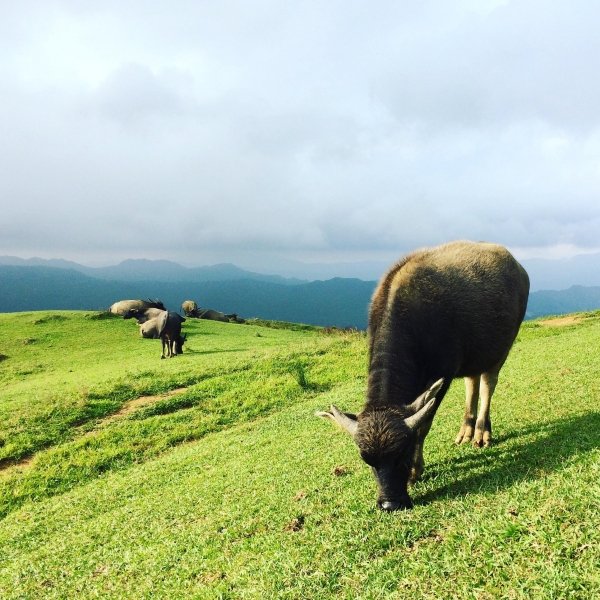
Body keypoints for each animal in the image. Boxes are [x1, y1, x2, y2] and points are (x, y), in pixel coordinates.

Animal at [316, 241, 528, 512]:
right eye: (368, 462)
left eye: (403, 455)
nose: (390, 504)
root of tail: (518, 268)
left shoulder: (443, 374)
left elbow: (424, 425)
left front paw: (416, 471)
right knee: (472, 382)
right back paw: (466, 431)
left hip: (501, 347)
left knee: (487, 383)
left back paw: (481, 433)